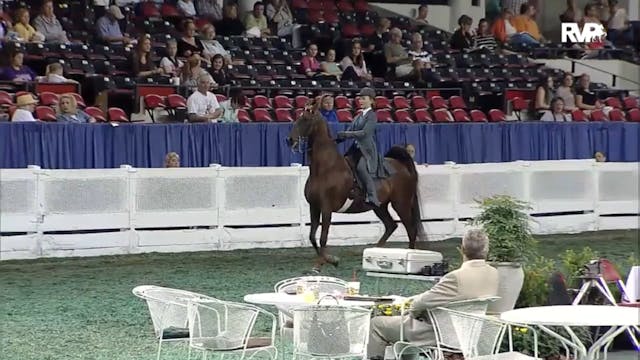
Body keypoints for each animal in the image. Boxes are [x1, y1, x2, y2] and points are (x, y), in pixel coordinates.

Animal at [284, 100, 424, 272]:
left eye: (305, 119)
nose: (289, 140)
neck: (326, 168)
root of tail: (401, 165)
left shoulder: (326, 208)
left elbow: (323, 237)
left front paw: (326, 262)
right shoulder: (314, 207)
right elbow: (312, 237)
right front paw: (327, 262)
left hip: (401, 204)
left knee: (411, 230)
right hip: (380, 206)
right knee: (391, 226)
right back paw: (374, 253)